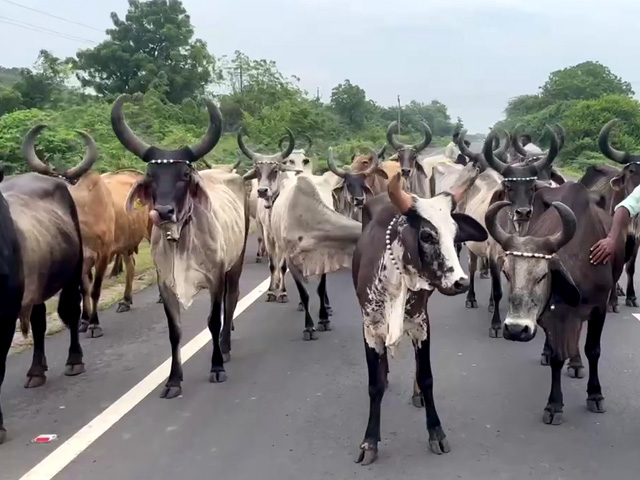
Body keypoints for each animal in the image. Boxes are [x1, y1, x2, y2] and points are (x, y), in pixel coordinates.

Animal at [0, 166, 85, 445]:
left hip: (73, 270)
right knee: (38, 324)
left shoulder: (5, 317)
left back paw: (74, 360)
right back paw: (37, 370)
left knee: (71, 312)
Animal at [112, 94, 248, 397]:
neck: (181, 240)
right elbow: (174, 331)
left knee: (232, 299)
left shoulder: (215, 278)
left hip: (236, 262)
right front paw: (174, 380)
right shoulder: (166, 285)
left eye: (185, 173)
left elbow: (213, 320)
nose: (163, 212)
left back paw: (226, 346)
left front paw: (216, 367)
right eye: (151, 174)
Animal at [352, 166, 487, 465]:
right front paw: (369, 441)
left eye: (456, 234)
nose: (461, 283)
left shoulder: (421, 324)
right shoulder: (369, 328)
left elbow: (426, 377)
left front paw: (436, 432)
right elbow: (374, 385)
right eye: (427, 235)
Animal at [454, 128, 560, 338]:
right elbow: (497, 291)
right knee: (471, 268)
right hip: (473, 248)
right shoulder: (493, 256)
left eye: (532, 187)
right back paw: (471, 298)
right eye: (509, 187)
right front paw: (495, 325)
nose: (523, 213)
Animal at [484, 181, 624, 424]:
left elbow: (593, 350)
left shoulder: (599, 309)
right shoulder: (554, 314)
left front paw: (595, 394)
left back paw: (576, 364)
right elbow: (558, 356)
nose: (516, 330)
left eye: (542, 275)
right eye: (507, 273)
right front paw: (554, 405)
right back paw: (549, 355)